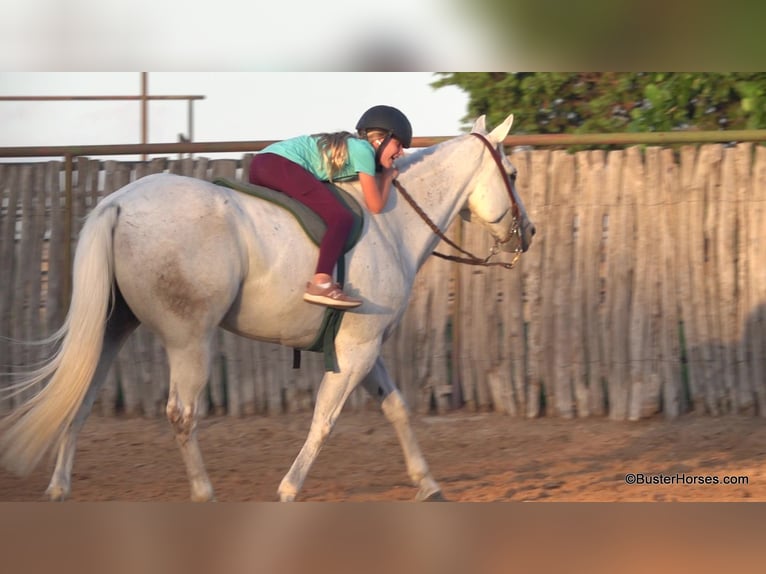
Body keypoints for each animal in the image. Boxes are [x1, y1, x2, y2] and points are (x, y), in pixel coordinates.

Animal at [0, 115, 536, 502]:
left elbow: (397, 409)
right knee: (181, 414)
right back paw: (204, 493)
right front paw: (289, 488)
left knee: (81, 399)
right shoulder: (357, 351)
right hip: (190, 340)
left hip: (113, 330)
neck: (391, 222)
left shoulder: (367, 349)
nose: (528, 233)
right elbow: (325, 417)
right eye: (511, 174)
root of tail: (118, 204)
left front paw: (428, 484)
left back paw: (59, 487)